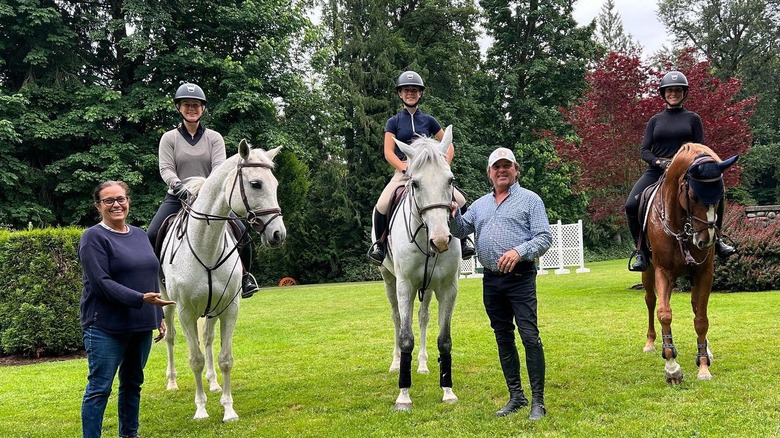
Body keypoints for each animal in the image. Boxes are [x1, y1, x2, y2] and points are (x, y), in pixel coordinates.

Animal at [160, 140, 284, 420]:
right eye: (256, 184)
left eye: (275, 184)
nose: (278, 234)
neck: (206, 245)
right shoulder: (185, 312)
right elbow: (194, 359)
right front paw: (201, 409)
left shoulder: (229, 308)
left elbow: (225, 358)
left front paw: (228, 409)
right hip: (166, 304)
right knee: (171, 338)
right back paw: (172, 382)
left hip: (212, 310)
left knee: (207, 339)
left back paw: (214, 383)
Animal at [380, 124, 460, 410]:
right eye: (415, 183)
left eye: (450, 180)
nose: (441, 240)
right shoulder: (405, 285)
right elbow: (406, 337)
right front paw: (403, 395)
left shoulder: (448, 287)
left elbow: (444, 340)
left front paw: (447, 391)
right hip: (390, 281)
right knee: (396, 318)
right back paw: (395, 364)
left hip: (427, 287)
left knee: (423, 317)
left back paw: (424, 365)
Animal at [640, 143, 736, 384]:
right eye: (693, 196)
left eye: (721, 195)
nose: (706, 240)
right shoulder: (663, 272)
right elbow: (664, 313)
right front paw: (672, 367)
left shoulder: (704, 273)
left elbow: (701, 318)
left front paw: (703, 365)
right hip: (648, 272)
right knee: (650, 301)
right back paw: (650, 342)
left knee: (695, 306)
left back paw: (707, 349)